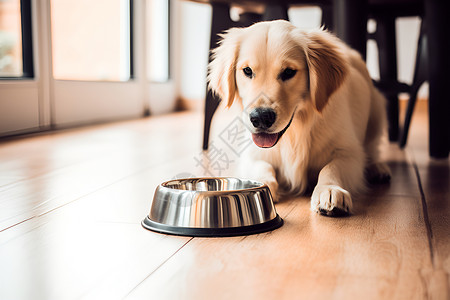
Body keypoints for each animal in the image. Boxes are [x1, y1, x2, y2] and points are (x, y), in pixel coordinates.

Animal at [207, 20, 390, 216]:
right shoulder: (251, 153)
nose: (261, 118)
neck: (295, 131)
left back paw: (377, 168)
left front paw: (329, 189)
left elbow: (331, 167)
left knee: (372, 148)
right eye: (247, 71)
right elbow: (262, 166)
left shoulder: (350, 152)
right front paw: (263, 184)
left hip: (377, 111)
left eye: (288, 72)